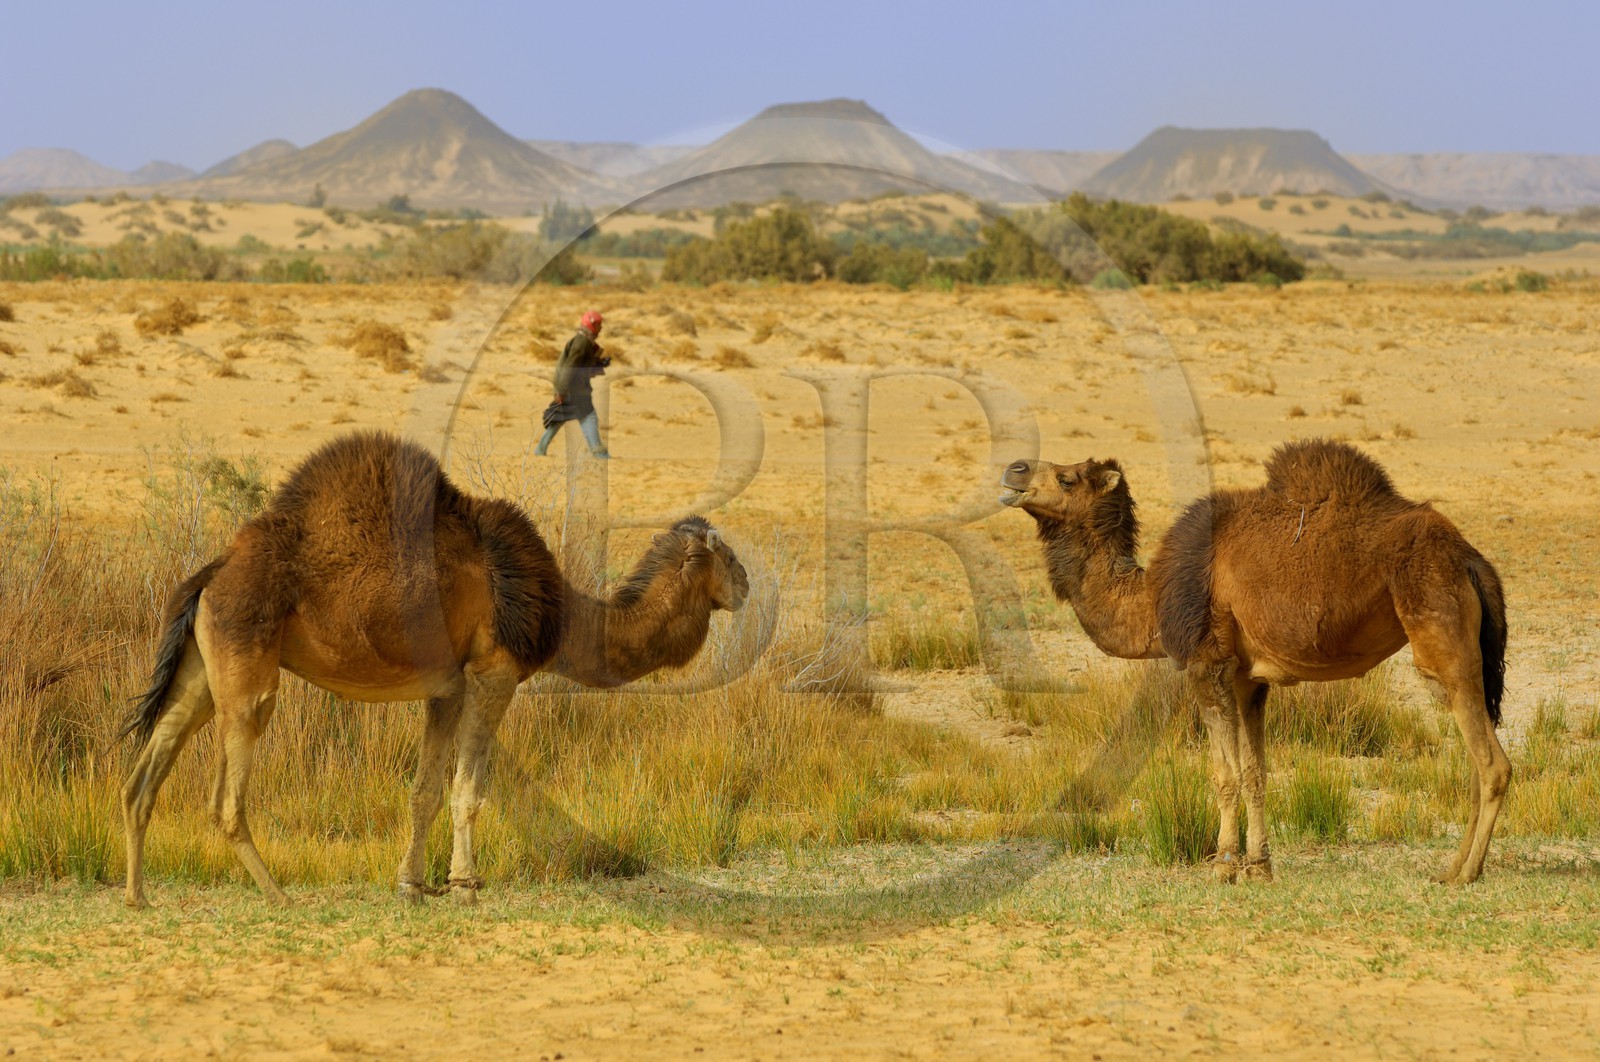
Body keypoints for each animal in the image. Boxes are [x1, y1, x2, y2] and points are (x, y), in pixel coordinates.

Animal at [120, 431, 747, 908]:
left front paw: (412, 886)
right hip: (248, 661)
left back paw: (138, 897)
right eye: (729, 555)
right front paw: (465, 886)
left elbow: (424, 790)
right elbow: (468, 790)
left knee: (144, 773)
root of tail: (210, 576)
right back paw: (279, 897)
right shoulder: (494, 671)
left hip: (203, 668)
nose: (746, 586)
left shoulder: (446, 688)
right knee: (226, 798)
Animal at [999, 438, 1508, 884]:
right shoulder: (1248, 678)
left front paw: (1223, 867)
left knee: (1490, 763)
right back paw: (1451, 868)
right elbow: (1255, 773)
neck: (1150, 600)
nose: (1013, 469)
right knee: (1473, 763)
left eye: (1065, 478)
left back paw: (1466, 873)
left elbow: (1223, 774)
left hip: (1440, 632)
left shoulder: (1206, 663)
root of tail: (1469, 557)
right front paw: (1259, 866)